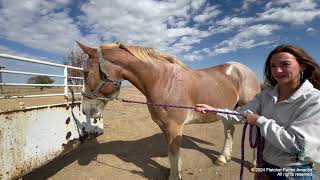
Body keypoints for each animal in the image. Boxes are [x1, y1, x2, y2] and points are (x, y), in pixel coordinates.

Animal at [77, 41, 260, 179]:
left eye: (85, 72)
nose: (85, 110)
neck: (163, 81)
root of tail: (245, 70)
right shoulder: (164, 126)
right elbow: (172, 155)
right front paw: (175, 171)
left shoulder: (174, 127)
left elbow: (173, 153)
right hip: (228, 110)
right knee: (229, 130)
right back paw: (222, 158)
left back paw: (255, 165)